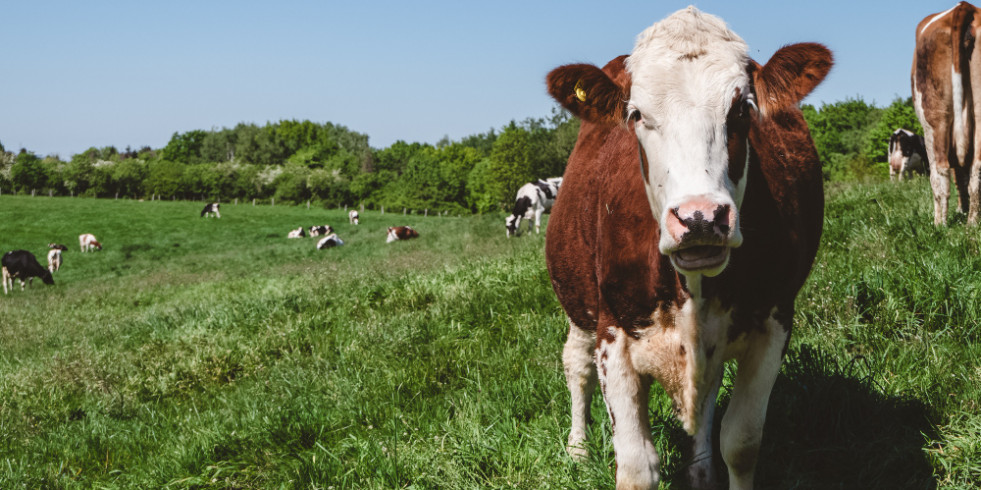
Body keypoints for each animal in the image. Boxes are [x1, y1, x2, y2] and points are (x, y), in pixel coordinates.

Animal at [540, 5, 832, 488]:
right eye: (636, 114)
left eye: (743, 109)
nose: (700, 218)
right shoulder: (612, 332)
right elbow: (635, 465)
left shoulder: (776, 319)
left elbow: (741, 442)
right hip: (578, 302)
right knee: (575, 365)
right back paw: (577, 448)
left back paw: (700, 466)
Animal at [912, 0, 980, 224]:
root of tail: (965, 6)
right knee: (976, 167)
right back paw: (972, 222)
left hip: (935, 115)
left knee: (939, 171)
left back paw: (939, 224)